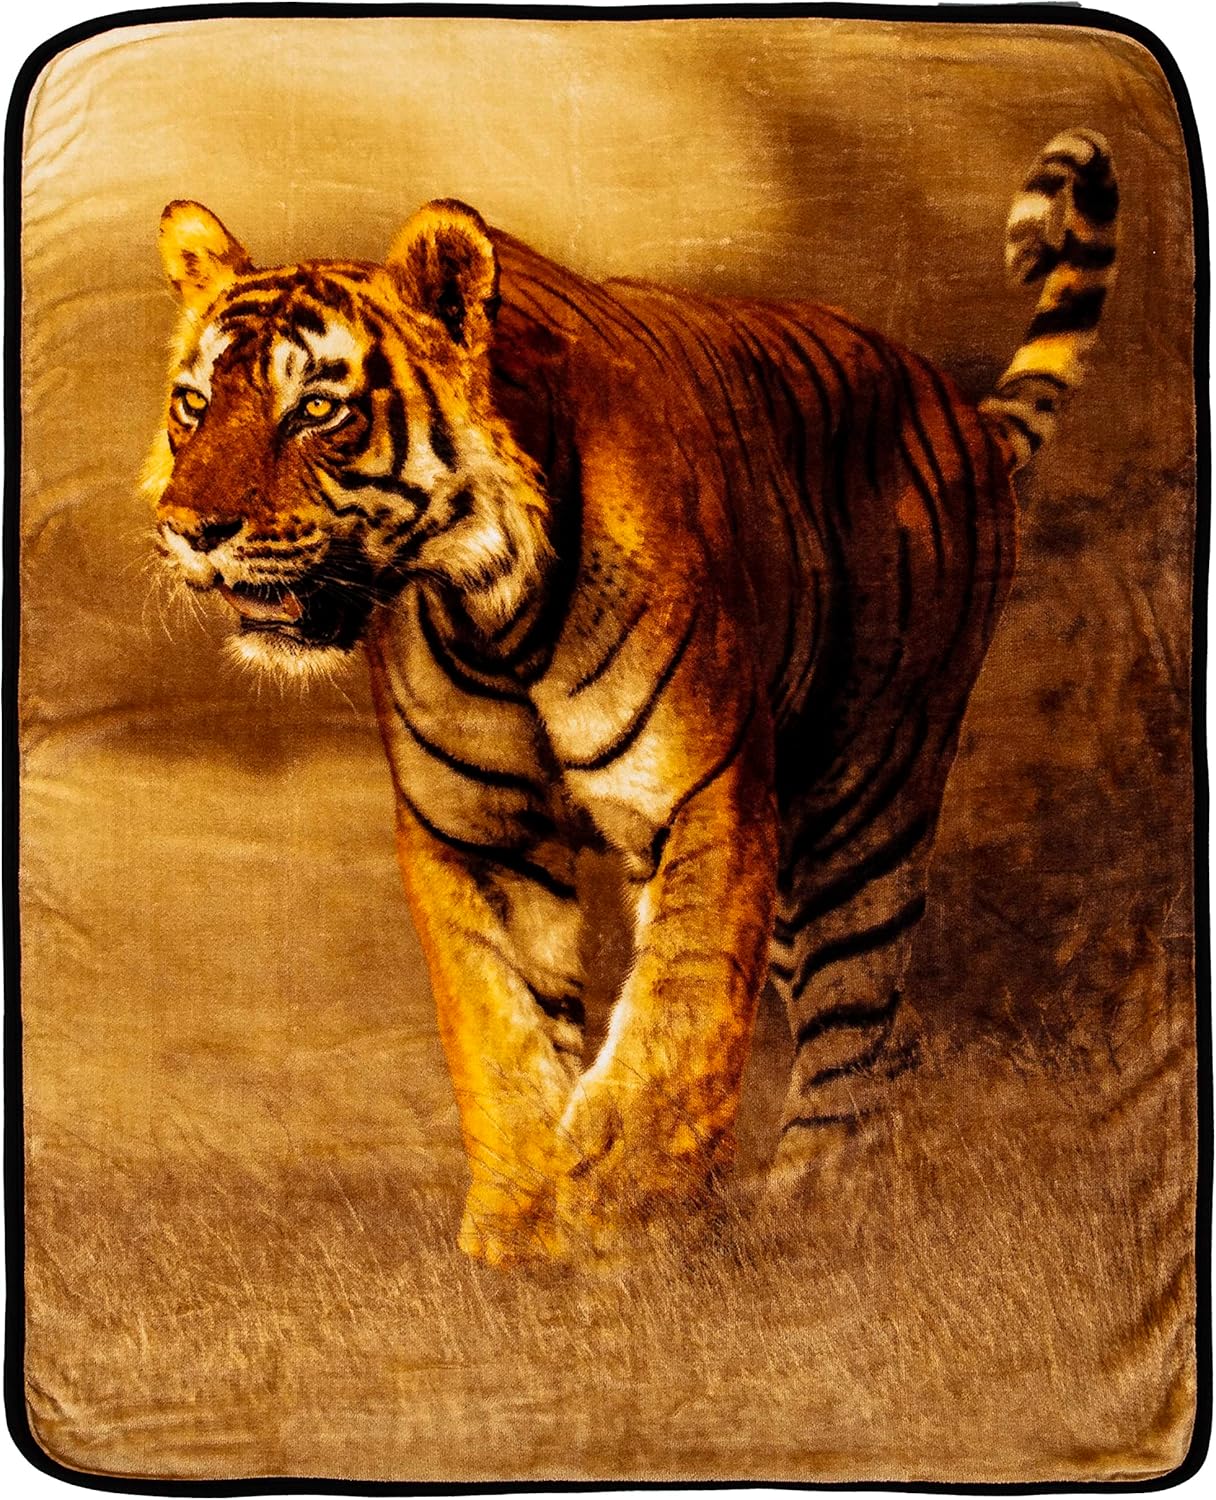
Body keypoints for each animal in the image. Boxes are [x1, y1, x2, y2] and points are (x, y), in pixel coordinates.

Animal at [145, 129, 1118, 1264]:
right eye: (195, 405)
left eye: (316, 410)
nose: (189, 529)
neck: (488, 609)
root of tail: (957, 406)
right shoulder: (474, 833)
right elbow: (502, 1029)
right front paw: (520, 1232)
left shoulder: (700, 799)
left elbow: (675, 1008)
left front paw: (627, 1218)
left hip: (862, 802)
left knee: (854, 1019)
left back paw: (814, 1213)